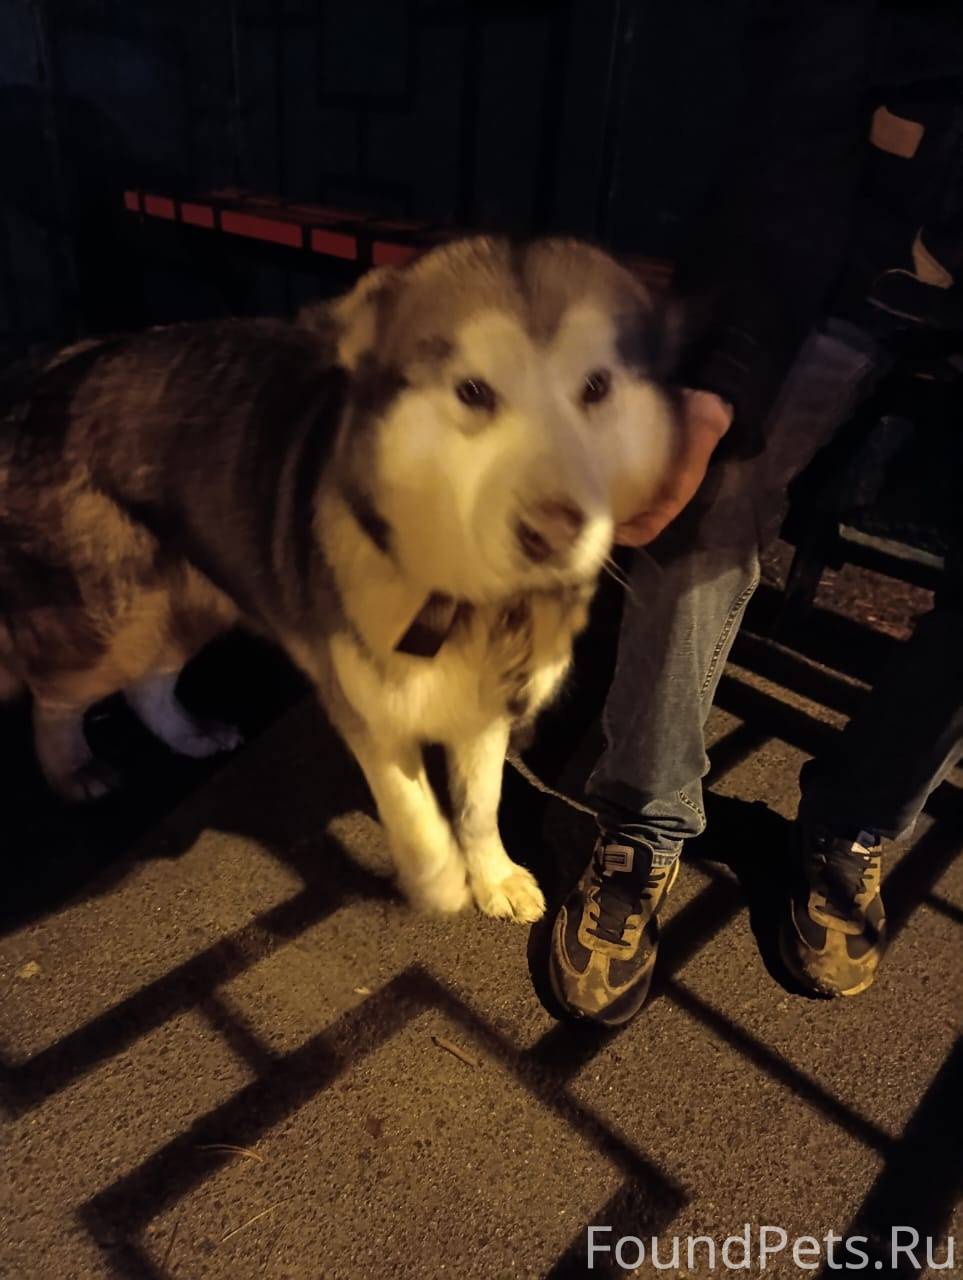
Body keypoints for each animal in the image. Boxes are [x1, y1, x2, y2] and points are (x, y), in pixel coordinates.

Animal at [0, 237, 677, 921]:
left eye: (596, 386)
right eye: (472, 391)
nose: (553, 533)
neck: (466, 601)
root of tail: (56, 364)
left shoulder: (484, 706)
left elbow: (480, 807)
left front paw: (494, 876)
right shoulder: (366, 712)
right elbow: (415, 814)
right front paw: (439, 880)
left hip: (186, 601)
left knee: (149, 685)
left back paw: (190, 736)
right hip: (113, 621)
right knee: (54, 697)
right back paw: (73, 770)